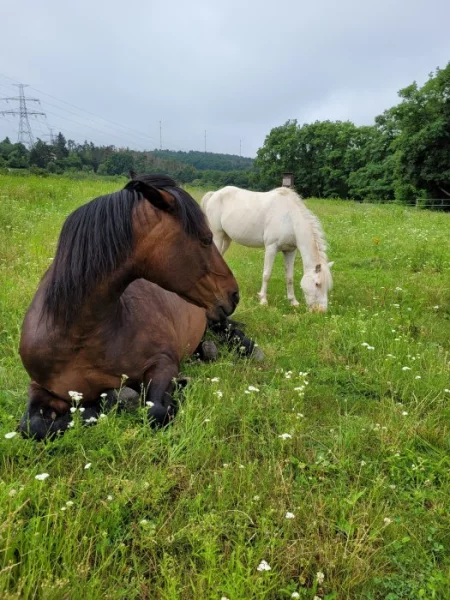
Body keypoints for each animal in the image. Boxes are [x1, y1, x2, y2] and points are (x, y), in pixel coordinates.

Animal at [18, 175, 241, 440]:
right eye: (206, 239)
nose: (234, 294)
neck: (76, 335)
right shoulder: (39, 386)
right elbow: (32, 426)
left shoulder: (164, 362)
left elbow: (155, 411)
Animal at [202, 186, 332, 310]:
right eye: (317, 284)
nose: (321, 311)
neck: (290, 218)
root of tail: (214, 194)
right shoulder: (271, 248)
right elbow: (266, 275)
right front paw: (263, 300)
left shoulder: (290, 251)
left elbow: (289, 277)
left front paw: (293, 302)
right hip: (217, 236)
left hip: (226, 238)